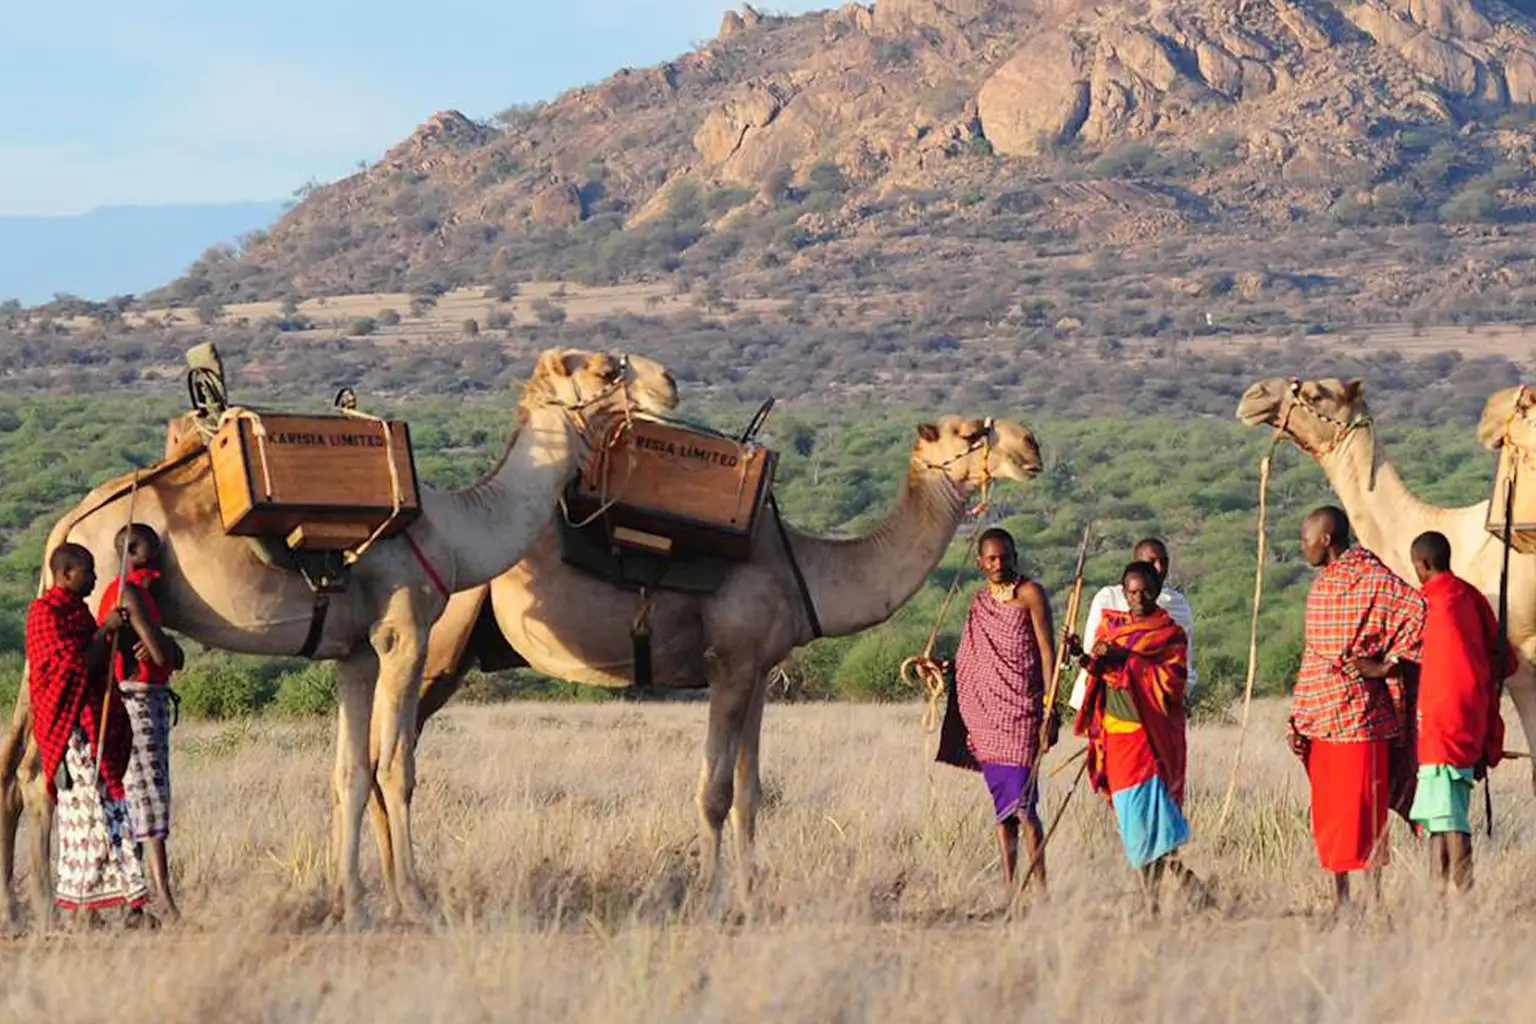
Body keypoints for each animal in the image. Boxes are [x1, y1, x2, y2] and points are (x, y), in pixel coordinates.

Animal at [0, 349, 678, 929]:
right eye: (606, 368)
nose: (668, 382)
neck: (458, 531)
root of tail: (69, 522)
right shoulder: (404, 633)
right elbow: (397, 767)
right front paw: (416, 902)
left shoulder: (354, 654)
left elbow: (350, 772)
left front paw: (353, 904)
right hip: (91, 621)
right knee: (44, 771)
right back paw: (53, 911)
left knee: (16, 765)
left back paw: (23, 911)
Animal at [360, 415, 1042, 905]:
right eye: (969, 431)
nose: (1033, 445)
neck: (805, 568)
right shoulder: (729, 663)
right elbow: (713, 791)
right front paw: (713, 896)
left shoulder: (760, 673)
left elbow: (749, 791)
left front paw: (749, 891)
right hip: (435, 646)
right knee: (392, 754)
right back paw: (404, 893)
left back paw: (391, 887)